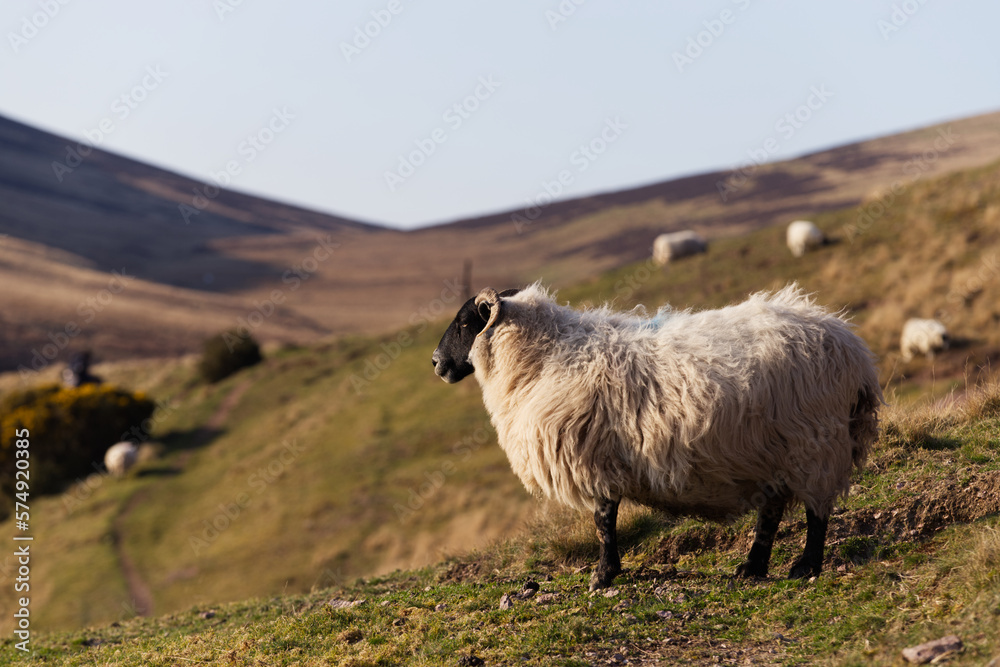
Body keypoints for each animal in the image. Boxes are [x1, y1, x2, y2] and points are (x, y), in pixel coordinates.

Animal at [432, 283, 881, 590]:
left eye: (466, 322)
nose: (436, 363)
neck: (544, 355)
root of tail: (854, 350)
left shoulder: (594, 459)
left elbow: (603, 520)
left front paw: (603, 575)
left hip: (814, 445)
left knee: (816, 512)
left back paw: (806, 566)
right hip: (774, 454)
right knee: (770, 514)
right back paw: (752, 568)